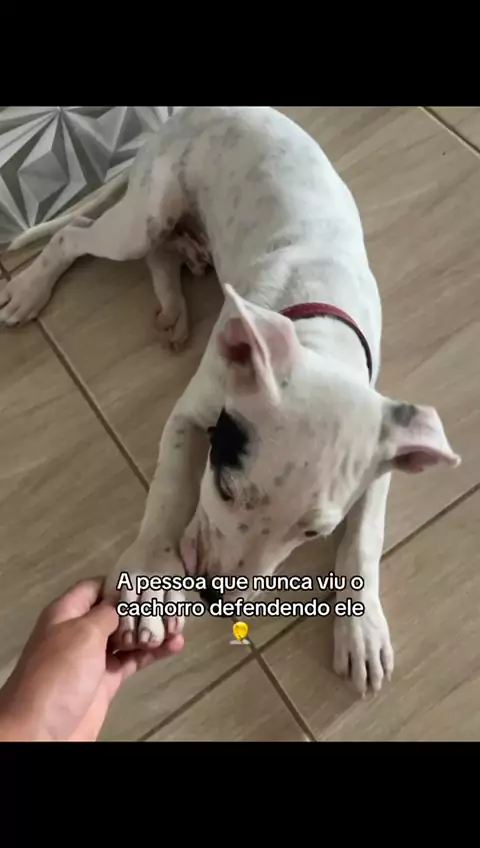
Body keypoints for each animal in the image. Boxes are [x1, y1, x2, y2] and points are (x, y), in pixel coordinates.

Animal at [1, 106, 461, 696]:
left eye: (314, 532)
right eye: (224, 488)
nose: (216, 597)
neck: (318, 336)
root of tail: (183, 117)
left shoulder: (383, 451)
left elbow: (365, 540)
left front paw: (361, 629)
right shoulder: (190, 415)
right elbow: (169, 492)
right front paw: (148, 575)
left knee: (162, 251)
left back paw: (179, 290)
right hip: (143, 216)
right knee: (78, 236)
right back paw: (33, 288)